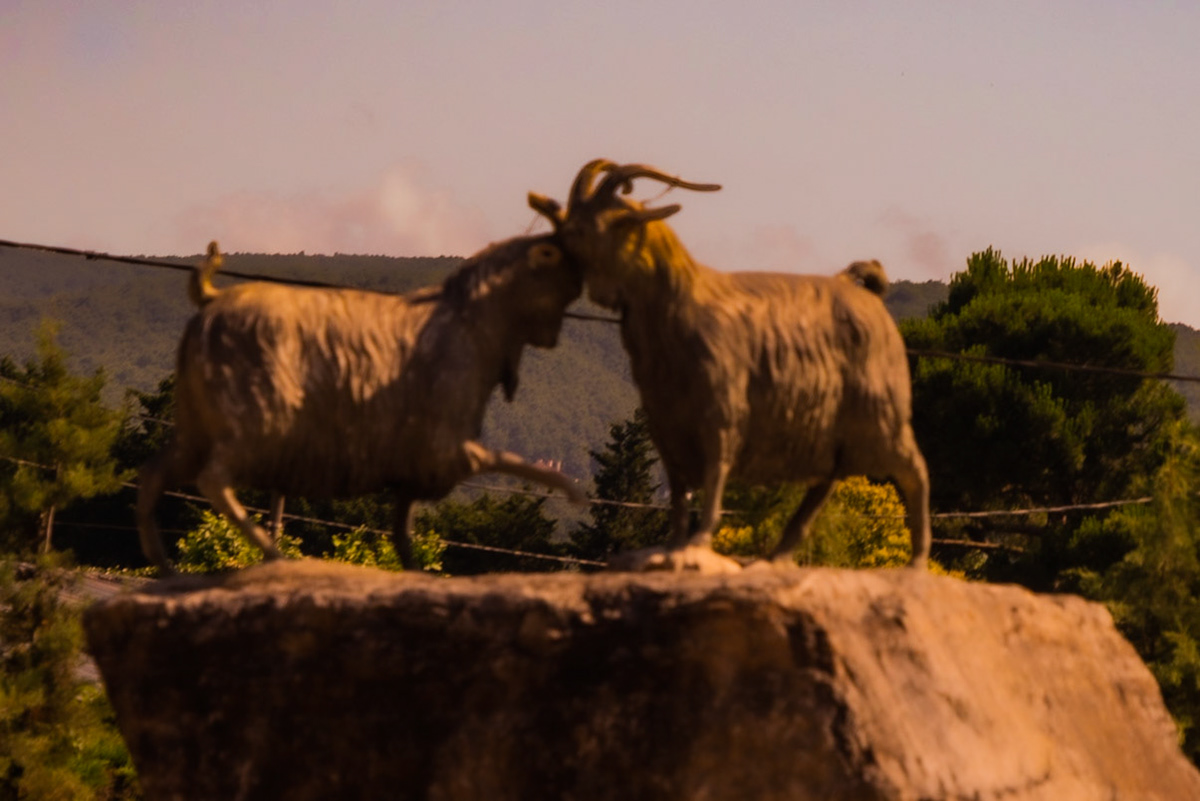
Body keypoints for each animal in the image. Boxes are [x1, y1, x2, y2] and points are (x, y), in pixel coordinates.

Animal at [137, 234, 585, 574]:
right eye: (548, 255)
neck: (471, 322)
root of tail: (211, 299)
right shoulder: (447, 446)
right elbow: (505, 461)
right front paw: (570, 489)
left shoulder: (418, 466)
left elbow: (403, 530)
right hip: (258, 422)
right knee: (212, 479)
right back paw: (274, 556)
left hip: (196, 426)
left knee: (154, 474)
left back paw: (168, 567)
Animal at [530, 160, 931, 568]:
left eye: (581, 230)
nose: (549, 251)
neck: (678, 299)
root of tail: (871, 296)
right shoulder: (665, 421)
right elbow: (679, 490)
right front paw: (673, 546)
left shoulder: (722, 409)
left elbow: (715, 473)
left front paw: (698, 540)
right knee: (824, 484)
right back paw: (777, 554)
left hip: (880, 413)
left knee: (915, 471)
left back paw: (916, 561)